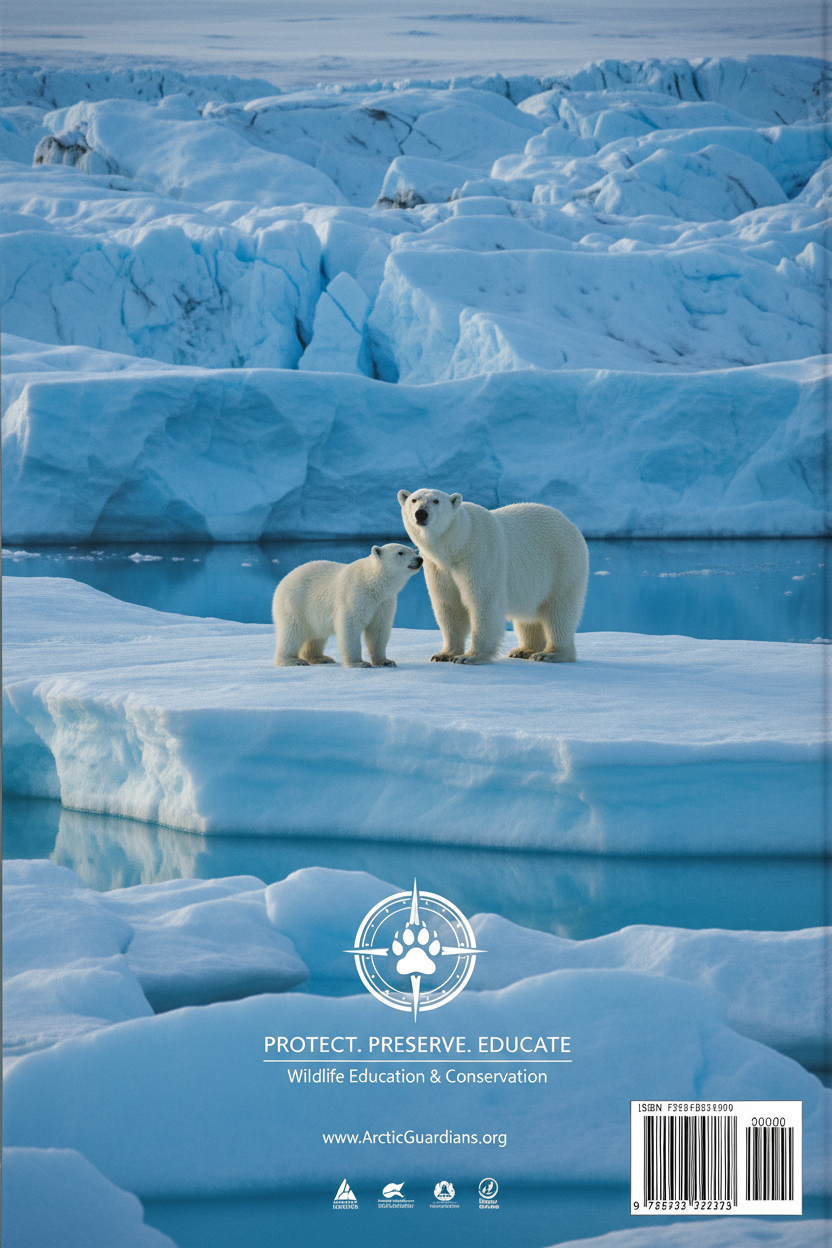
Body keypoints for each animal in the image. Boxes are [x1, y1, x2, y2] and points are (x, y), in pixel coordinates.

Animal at [272, 543, 423, 668]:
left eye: (414, 551)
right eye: (400, 552)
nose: (420, 559)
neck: (372, 583)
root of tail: (283, 581)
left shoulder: (384, 602)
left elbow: (378, 629)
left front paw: (385, 661)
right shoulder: (355, 594)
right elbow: (350, 625)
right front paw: (359, 663)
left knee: (316, 635)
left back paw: (321, 658)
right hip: (295, 603)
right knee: (292, 632)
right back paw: (292, 660)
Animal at [397, 488, 588, 665]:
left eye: (436, 500)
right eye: (414, 500)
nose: (421, 513)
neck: (459, 544)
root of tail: (571, 524)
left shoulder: (480, 555)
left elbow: (483, 601)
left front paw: (470, 657)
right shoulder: (439, 567)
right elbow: (449, 605)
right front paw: (444, 654)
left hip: (562, 564)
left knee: (560, 610)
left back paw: (550, 654)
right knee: (529, 616)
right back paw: (524, 650)